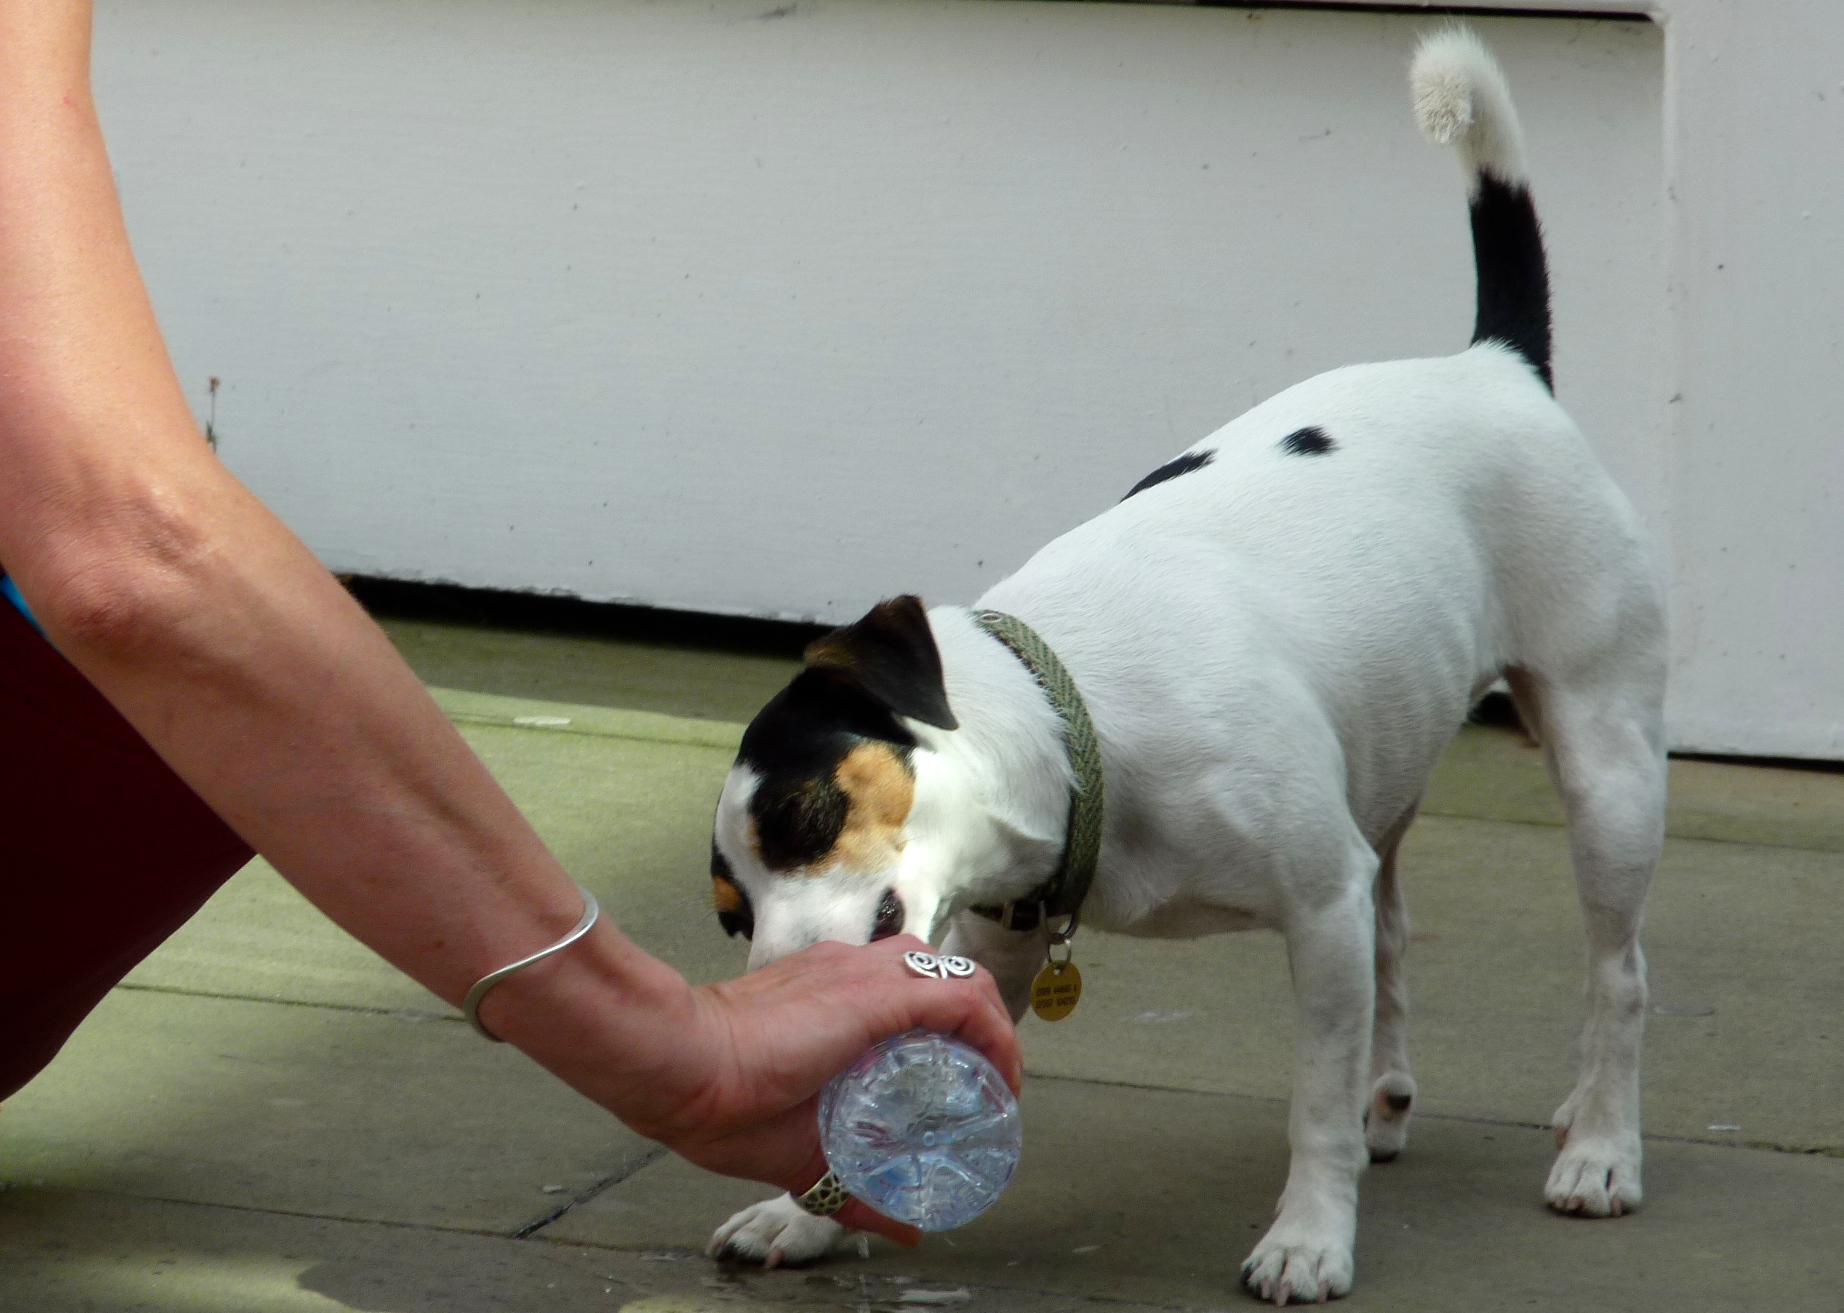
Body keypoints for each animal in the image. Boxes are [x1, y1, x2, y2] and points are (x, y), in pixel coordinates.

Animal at [697, 30, 1666, 1305]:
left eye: (806, 813)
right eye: (727, 916)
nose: (765, 995)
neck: (1082, 733)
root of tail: (1493, 366)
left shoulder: (1316, 900)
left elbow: (1308, 1101)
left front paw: (1309, 1232)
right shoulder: (1006, 942)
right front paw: (806, 1213)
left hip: (1606, 769)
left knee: (1616, 970)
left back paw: (1599, 1143)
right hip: (1385, 773)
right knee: (1398, 932)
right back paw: (1394, 1098)